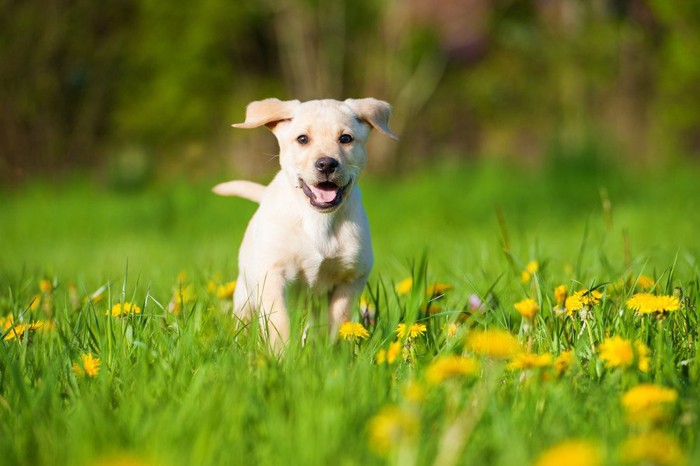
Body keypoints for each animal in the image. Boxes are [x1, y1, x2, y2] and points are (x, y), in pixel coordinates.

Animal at [213, 97, 396, 350]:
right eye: (302, 139)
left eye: (345, 138)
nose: (326, 164)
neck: (317, 219)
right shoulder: (272, 276)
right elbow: (279, 322)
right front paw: (280, 355)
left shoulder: (350, 278)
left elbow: (338, 322)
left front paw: (333, 354)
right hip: (246, 293)